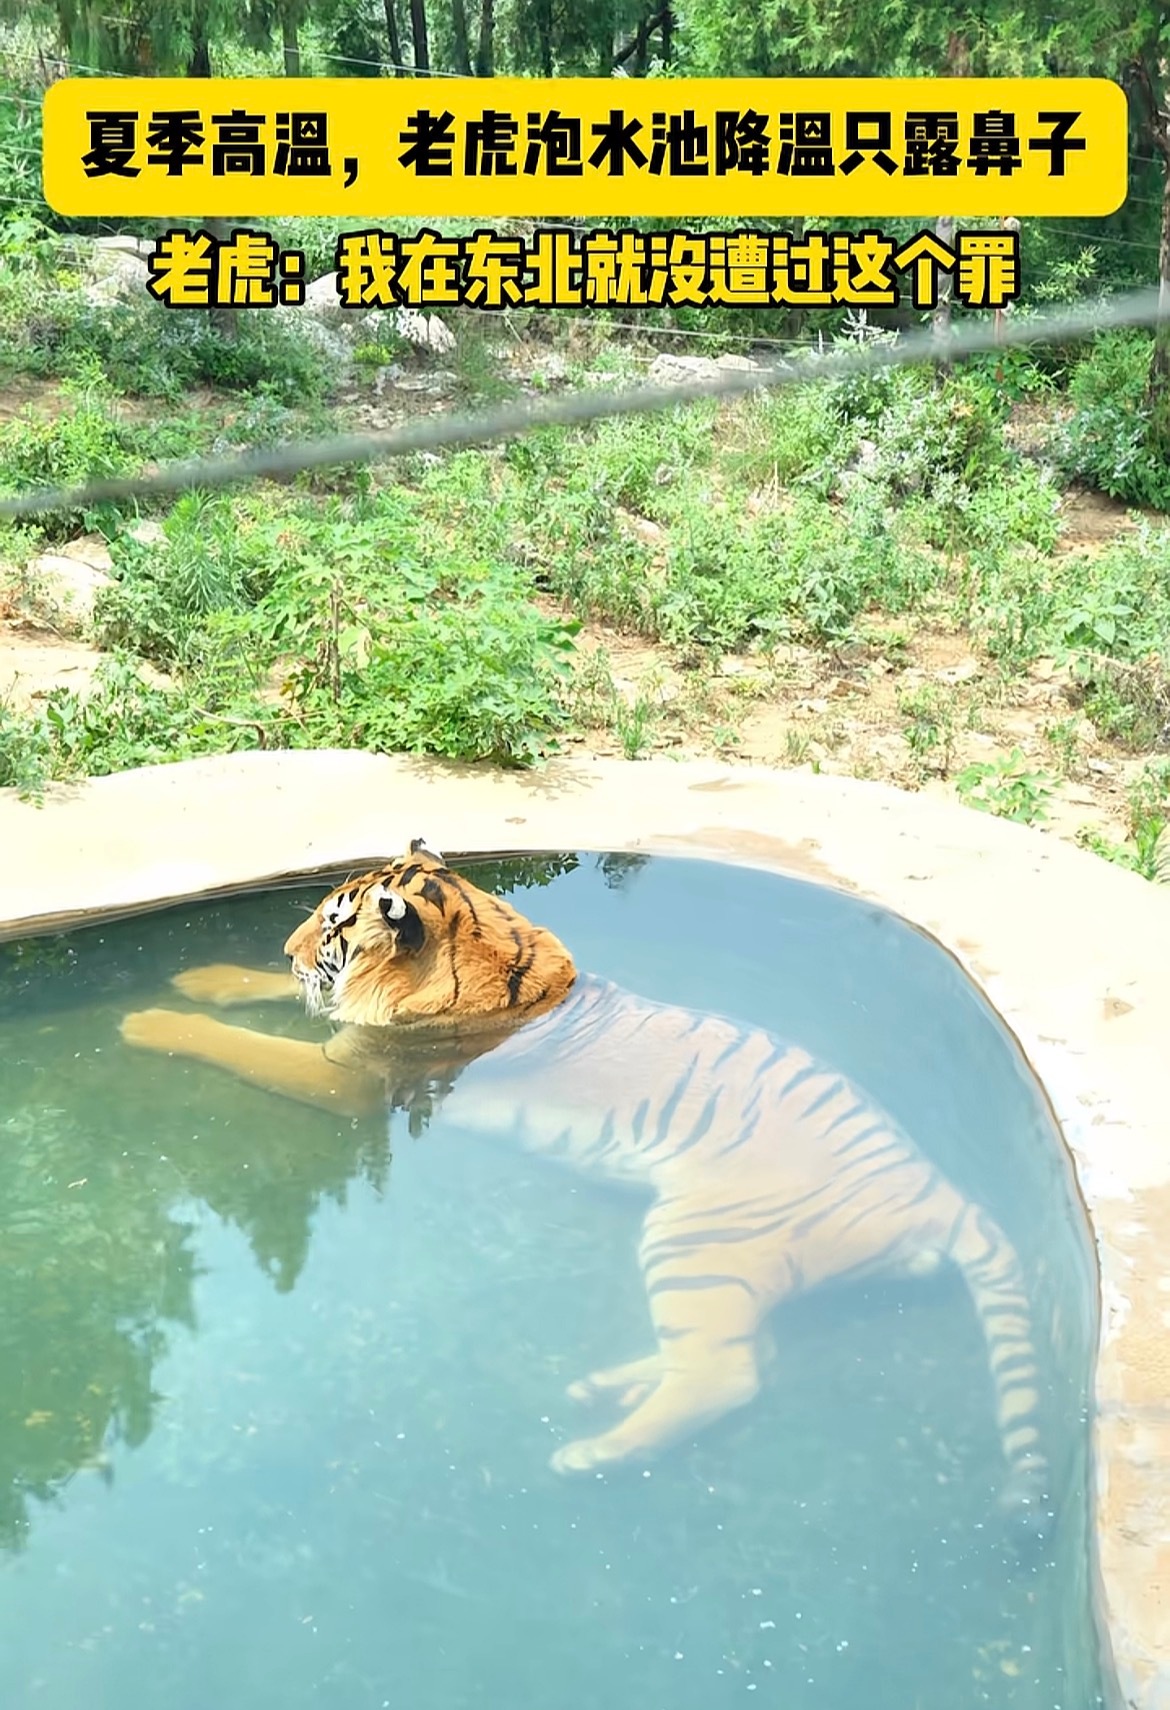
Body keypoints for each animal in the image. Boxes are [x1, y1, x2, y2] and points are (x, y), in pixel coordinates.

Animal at [120, 837, 1052, 1536]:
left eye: (333, 923)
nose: (287, 948)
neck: (486, 938)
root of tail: (940, 1192)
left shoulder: (353, 1077)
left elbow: (245, 1043)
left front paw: (148, 1019)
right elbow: (265, 1002)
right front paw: (204, 978)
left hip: (697, 1239)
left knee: (726, 1375)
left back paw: (594, 1452)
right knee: (749, 1351)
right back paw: (600, 1390)